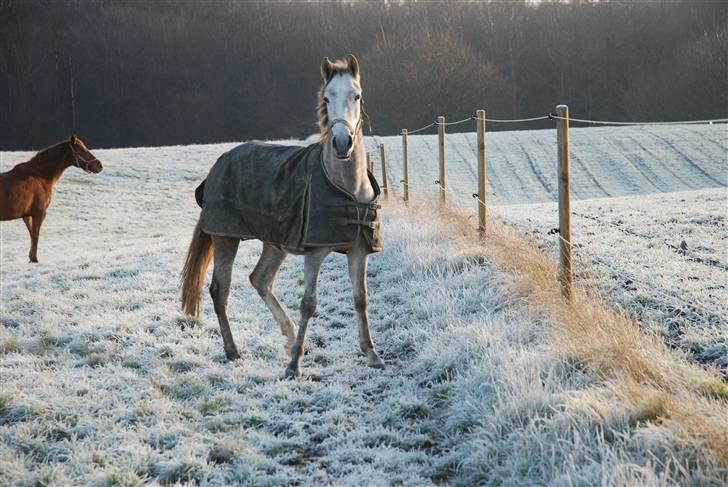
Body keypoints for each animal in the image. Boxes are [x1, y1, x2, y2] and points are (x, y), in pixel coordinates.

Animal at [0, 135, 103, 264]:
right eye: (82, 150)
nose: (99, 165)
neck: (40, 176)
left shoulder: (26, 215)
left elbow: (31, 234)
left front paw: (31, 258)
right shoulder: (39, 213)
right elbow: (35, 235)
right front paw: (34, 259)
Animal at [181, 55, 386, 380]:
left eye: (357, 96)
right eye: (326, 98)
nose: (342, 143)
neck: (346, 188)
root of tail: (220, 162)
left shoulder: (359, 251)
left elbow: (360, 299)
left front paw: (372, 354)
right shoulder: (314, 252)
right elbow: (308, 303)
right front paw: (294, 366)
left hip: (274, 243)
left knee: (260, 280)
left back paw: (289, 337)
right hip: (226, 238)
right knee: (219, 290)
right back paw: (234, 350)